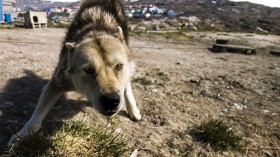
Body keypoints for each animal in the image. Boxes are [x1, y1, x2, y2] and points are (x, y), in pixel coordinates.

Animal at [7, 0, 141, 145]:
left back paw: (132, 109)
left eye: (118, 66)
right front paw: (22, 135)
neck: (95, 32)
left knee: (127, 84)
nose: (111, 101)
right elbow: (38, 113)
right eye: (88, 70)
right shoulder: (59, 80)